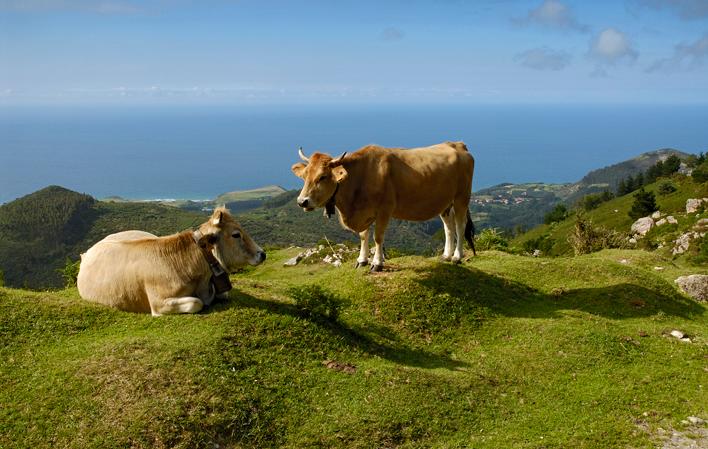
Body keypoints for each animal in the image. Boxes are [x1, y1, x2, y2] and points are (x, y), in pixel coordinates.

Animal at [76, 207, 266, 316]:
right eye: (236, 234)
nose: (262, 254)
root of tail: (89, 250)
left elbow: (222, 294)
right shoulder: (158, 303)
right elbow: (196, 303)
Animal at [294, 140, 476, 270]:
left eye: (323, 176)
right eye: (304, 175)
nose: (302, 201)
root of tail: (457, 144)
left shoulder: (384, 210)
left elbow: (378, 237)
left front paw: (377, 263)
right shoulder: (364, 212)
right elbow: (363, 235)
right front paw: (362, 260)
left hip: (462, 197)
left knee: (460, 225)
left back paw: (456, 257)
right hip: (444, 203)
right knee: (448, 226)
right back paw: (446, 255)